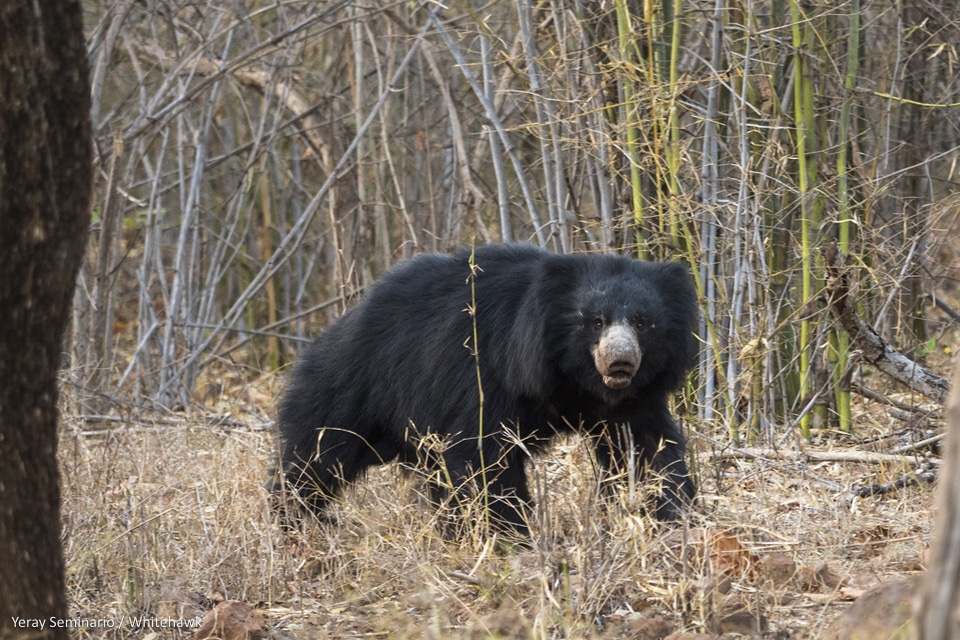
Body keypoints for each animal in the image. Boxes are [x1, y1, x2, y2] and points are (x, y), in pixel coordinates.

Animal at [274, 244, 700, 536]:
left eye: (643, 323)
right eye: (594, 321)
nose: (620, 361)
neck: (571, 378)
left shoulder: (632, 400)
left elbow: (646, 449)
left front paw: (669, 513)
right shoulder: (489, 376)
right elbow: (483, 456)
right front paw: (508, 533)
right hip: (357, 385)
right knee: (318, 450)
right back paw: (297, 516)